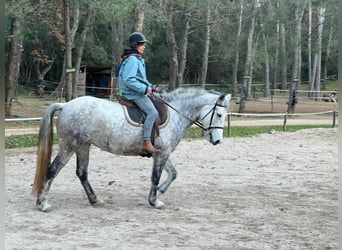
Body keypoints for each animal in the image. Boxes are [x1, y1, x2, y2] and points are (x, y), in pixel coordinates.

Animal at [32, 87, 231, 211]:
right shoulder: (162, 154)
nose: (217, 141)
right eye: (219, 114)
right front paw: (154, 201)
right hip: (69, 146)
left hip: (83, 146)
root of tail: (66, 105)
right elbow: (155, 177)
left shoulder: (161, 153)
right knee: (53, 170)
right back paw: (43, 204)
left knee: (82, 173)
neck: (176, 113)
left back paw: (95, 199)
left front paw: (160, 192)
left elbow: (173, 173)